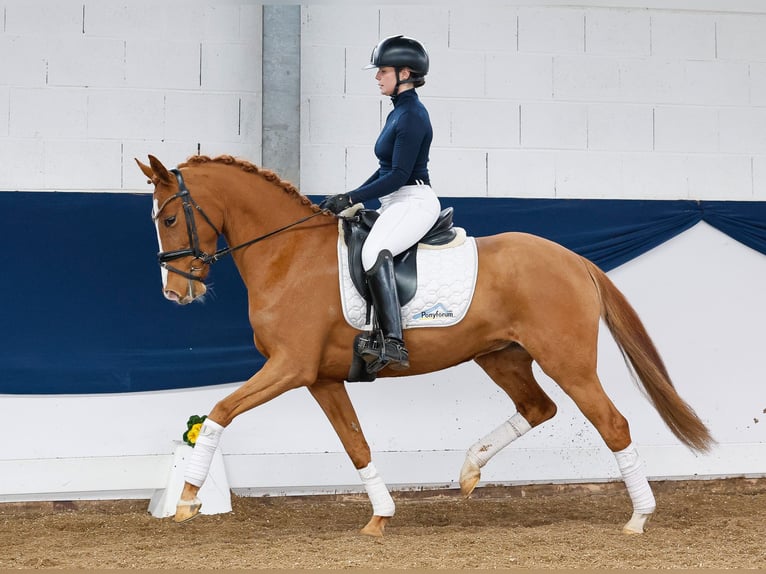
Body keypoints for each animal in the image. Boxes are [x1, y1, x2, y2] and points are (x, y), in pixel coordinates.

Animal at [136, 155, 712, 536]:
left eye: (170, 218)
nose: (175, 293)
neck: (288, 255)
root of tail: (573, 260)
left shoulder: (289, 367)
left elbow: (219, 411)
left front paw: (188, 497)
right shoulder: (320, 377)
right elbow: (355, 444)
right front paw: (380, 516)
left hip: (567, 361)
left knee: (612, 424)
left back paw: (638, 518)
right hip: (500, 355)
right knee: (537, 407)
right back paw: (470, 469)